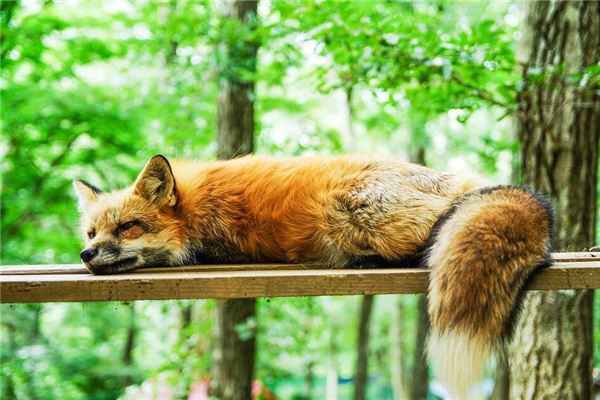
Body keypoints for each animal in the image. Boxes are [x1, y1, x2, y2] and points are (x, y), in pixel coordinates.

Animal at [72, 154, 552, 396]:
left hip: (346, 208)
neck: (193, 209)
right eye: (92, 231)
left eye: (128, 227)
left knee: (430, 238)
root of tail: (464, 181)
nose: (86, 252)